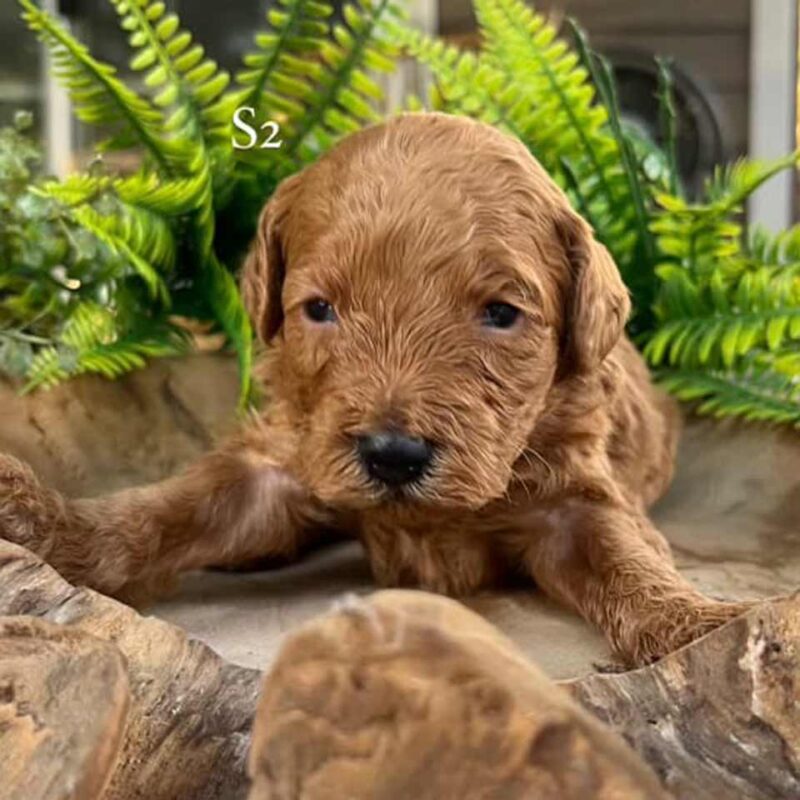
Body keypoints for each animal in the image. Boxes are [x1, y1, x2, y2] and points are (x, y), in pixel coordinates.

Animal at [0, 111, 752, 664]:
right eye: (320, 309)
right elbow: (164, 510)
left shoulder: (577, 499)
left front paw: (702, 623)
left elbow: (627, 561)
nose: (393, 456)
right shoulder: (285, 455)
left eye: (501, 314)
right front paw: (46, 519)